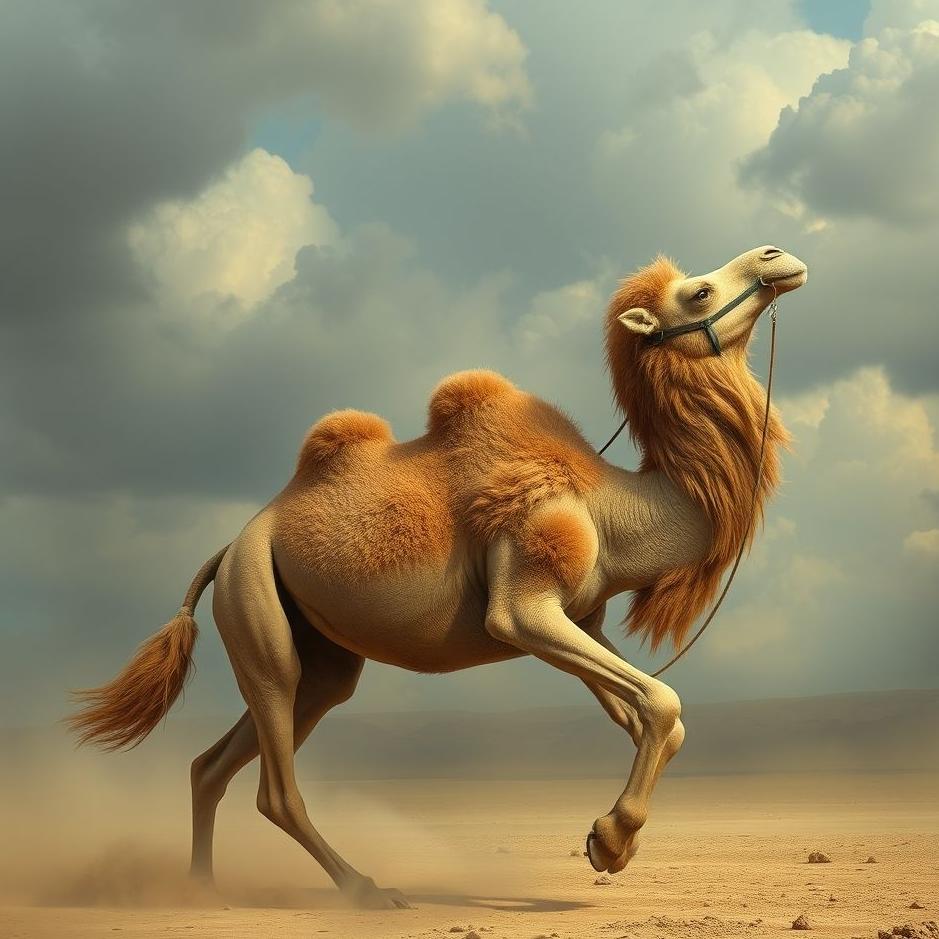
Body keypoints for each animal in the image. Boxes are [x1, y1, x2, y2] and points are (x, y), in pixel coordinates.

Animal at [68, 244, 806, 910]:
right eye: (699, 292)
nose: (778, 257)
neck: (616, 506)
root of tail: (229, 546)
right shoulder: (523, 599)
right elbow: (663, 701)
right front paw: (610, 837)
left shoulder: (581, 617)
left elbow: (655, 715)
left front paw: (607, 841)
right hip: (253, 606)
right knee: (274, 782)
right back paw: (367, 890)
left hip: (316, 652)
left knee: (218, 761)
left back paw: (200, 890)